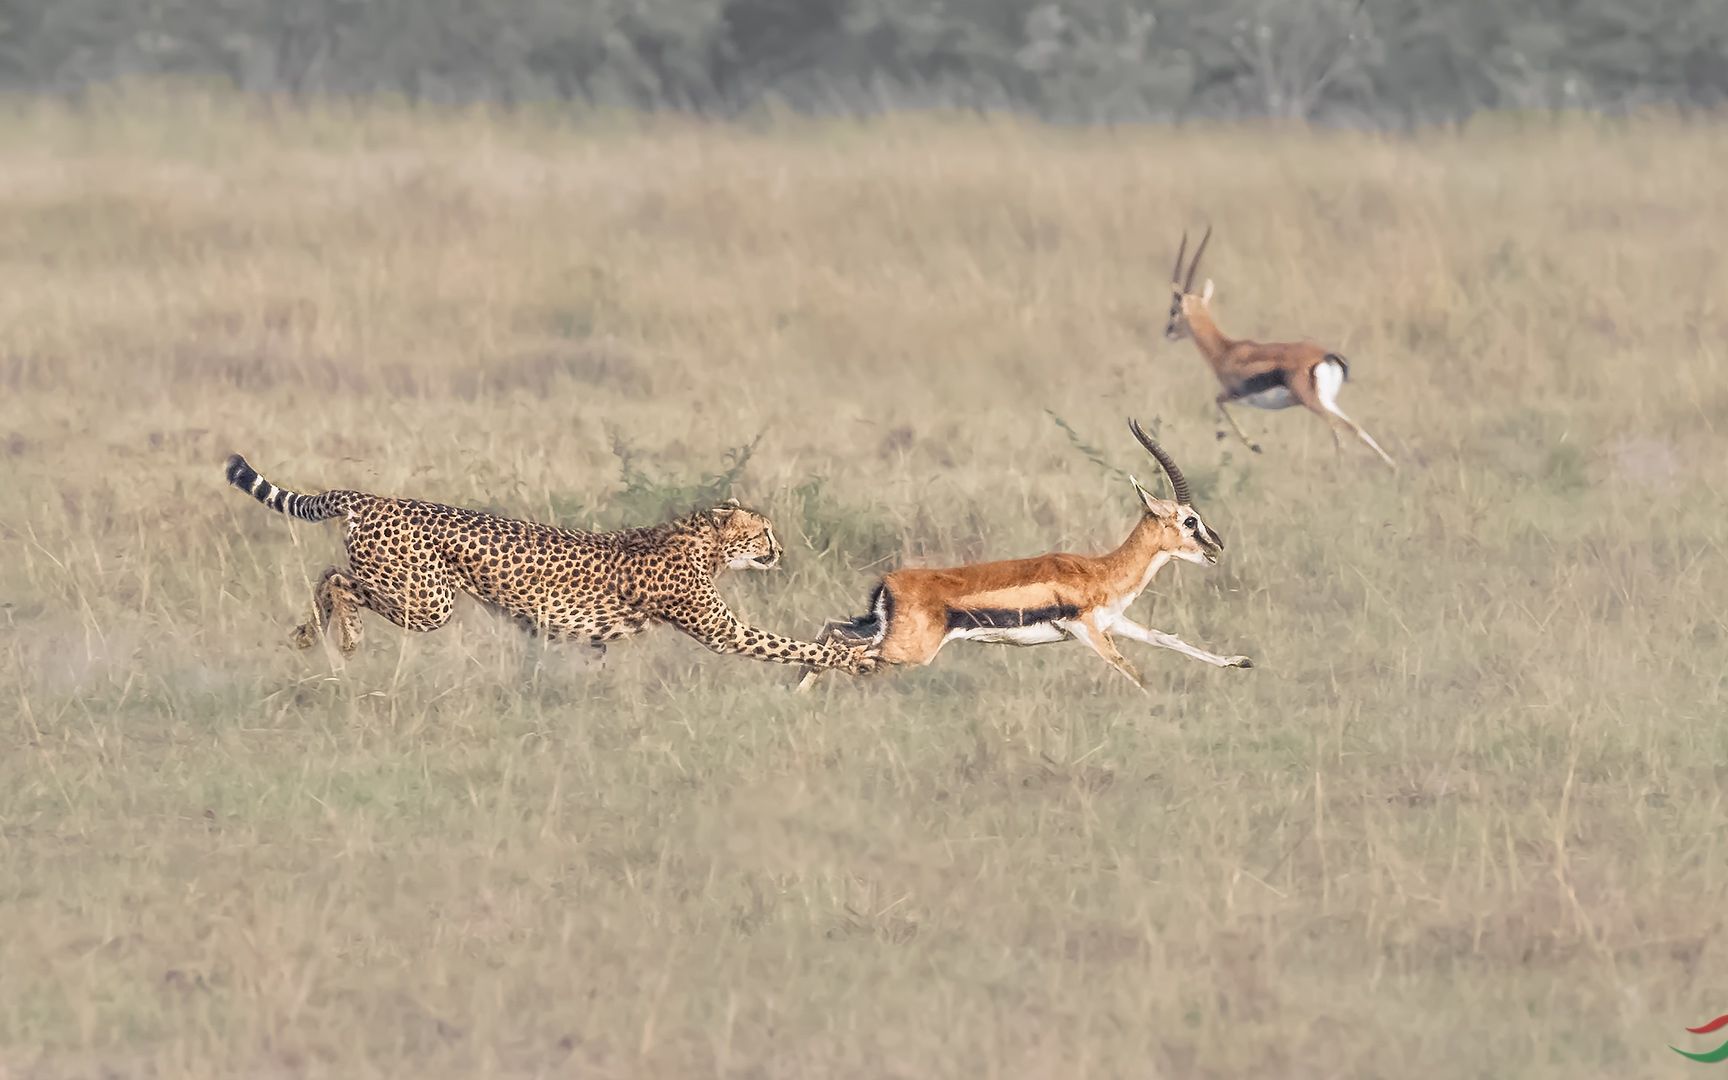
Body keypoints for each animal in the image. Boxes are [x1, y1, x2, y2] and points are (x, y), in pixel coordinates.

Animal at [221, 449, 877, 673]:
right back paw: (346, 637)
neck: (701, 543)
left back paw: (309, 634)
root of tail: (376, 497)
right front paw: (850, 658)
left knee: (327, 576)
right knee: (338, 579)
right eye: (763, 531)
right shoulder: (721, 630)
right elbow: (784, 643)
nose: (780, 550)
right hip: (427, 601)